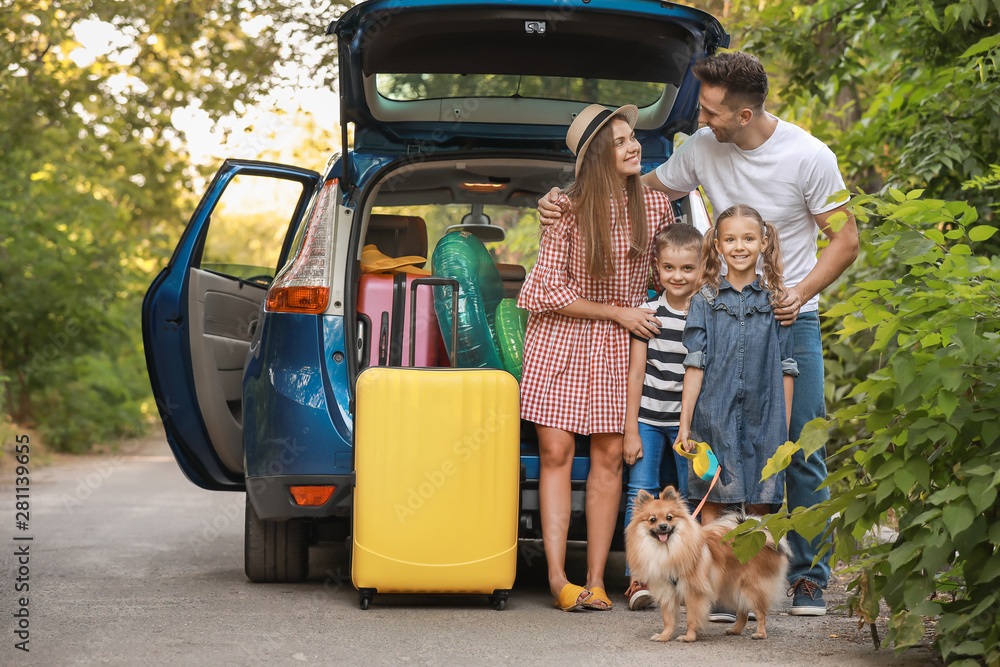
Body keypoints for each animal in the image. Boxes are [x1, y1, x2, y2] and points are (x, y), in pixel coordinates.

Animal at [624, 488, 788, 644]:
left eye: (669, 517)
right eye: (652, 520)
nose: (663, 526)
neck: (668, 549)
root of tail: (756, 534)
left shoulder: (693, 591)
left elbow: (691, 618)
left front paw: (689, 637)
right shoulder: (667, 591)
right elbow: (668, 619)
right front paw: (664, 636)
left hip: (750, 587)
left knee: (760, 613)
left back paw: (760, 633)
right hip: (731, 589)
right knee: (743, 611)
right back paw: (736, 630)